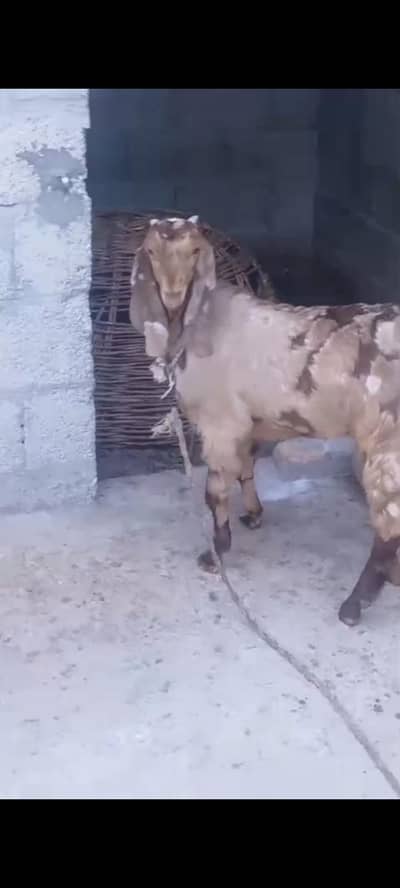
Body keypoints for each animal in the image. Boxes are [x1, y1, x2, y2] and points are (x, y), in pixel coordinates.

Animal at [129, 215, 400, 627]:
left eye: (194, 251)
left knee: (387, 524)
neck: (203, 322)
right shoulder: (253, 422)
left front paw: (216, 552)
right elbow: (245, 467)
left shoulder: (221, 421)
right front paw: (254, 515)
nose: (173, 295)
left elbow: (214, 490)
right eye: (150, 250)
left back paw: (354, 605)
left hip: (387, 440)